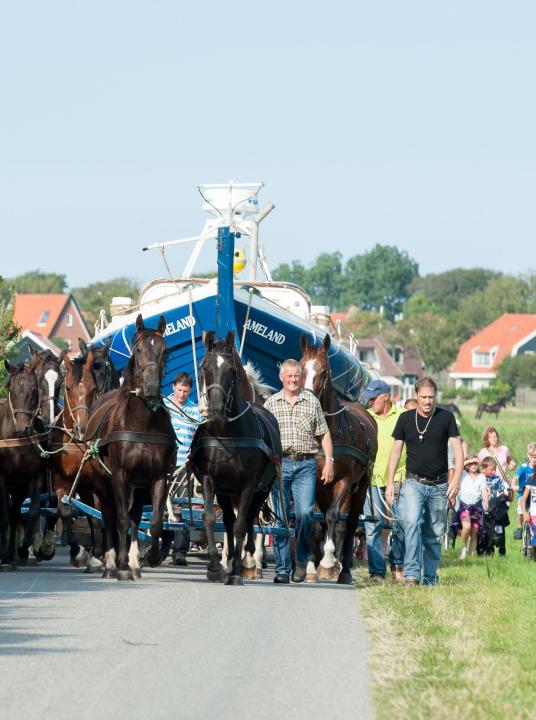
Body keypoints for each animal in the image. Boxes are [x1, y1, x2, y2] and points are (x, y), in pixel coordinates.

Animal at [189, 332, 282, 584]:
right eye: (204, 367)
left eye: (231, 370)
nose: (215, 408)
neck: (227, 434)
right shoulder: (211, 480)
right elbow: (211, 518)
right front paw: (215, 566)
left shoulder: (249, 484)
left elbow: (242, 525)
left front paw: (239, 570)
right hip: (226, 492)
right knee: (229, 521)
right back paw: (230, 560)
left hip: (261, 491)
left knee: (249, 518)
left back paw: (246, 561)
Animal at [300, 334, 378, 584]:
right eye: (301, 368)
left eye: (324, 371)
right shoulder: (314, 481)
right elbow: (316, 523)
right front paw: (312, 566)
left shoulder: (343, 481)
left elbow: (334, 516)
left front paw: (328, 561)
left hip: (359, 487)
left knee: (349, 523)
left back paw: (343, 569)